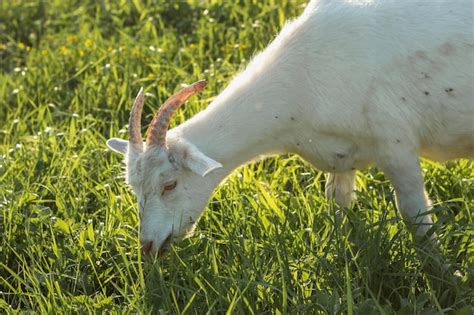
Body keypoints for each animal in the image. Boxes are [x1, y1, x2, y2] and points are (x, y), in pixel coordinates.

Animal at [107, 0, 474, 256]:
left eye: (169, 185)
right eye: (133, 188)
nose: (147, 246)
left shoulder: (395, 143)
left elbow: (415, 215)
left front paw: (443, 276)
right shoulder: (341, 155)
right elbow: (337, 204)